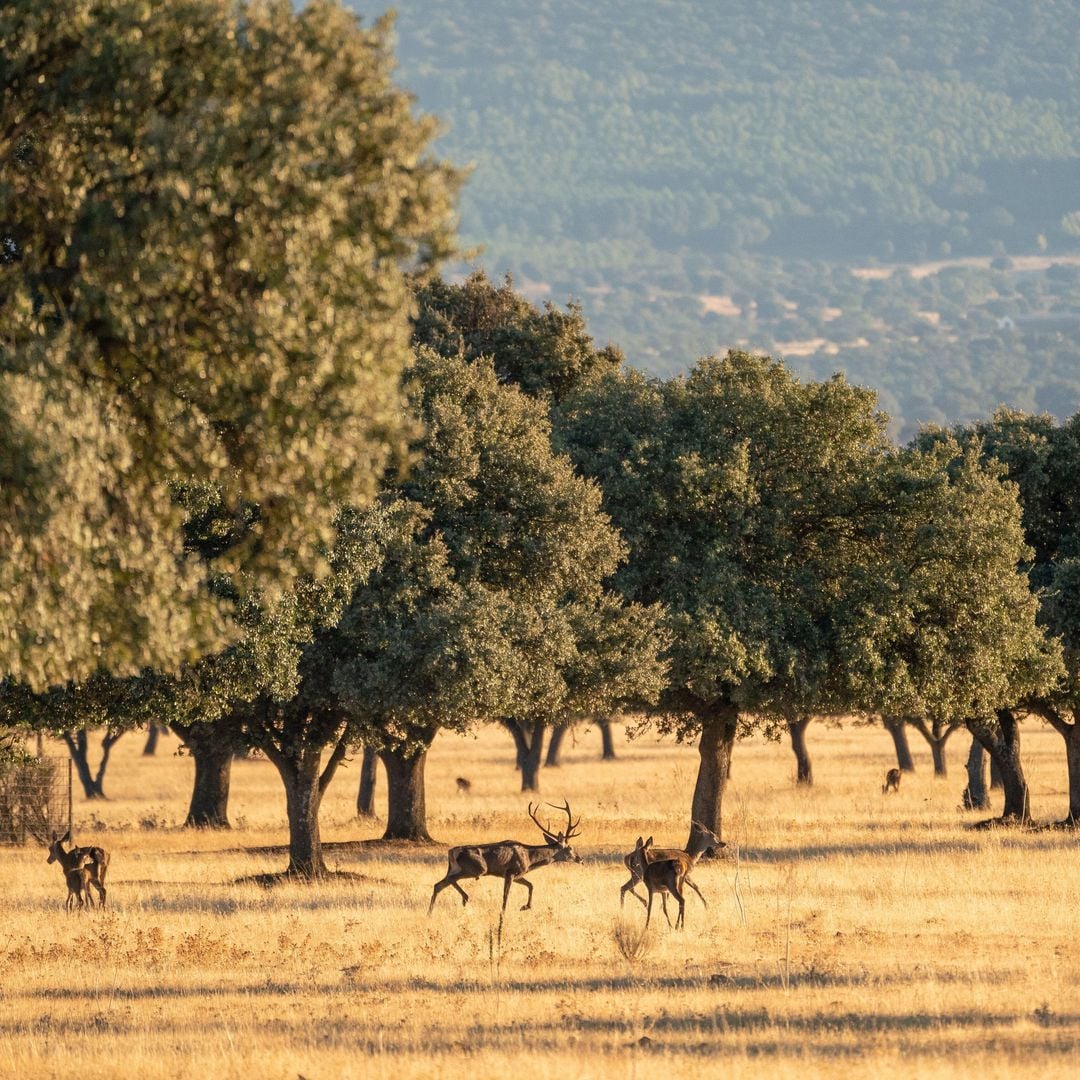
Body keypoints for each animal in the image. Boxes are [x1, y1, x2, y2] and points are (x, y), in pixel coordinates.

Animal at [427, 799, 583, 915]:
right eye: (570, 848)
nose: (580, 859)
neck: (529, 858)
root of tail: (452, 851)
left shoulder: (519, 875)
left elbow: (531, 885)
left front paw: (525, 907)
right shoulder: (511, 872)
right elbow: (506, 895)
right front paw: (504, 912)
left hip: (455, 868)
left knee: (438, 885)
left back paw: (430, 912)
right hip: (477, 868)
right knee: (449, 881)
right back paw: (465, 898)